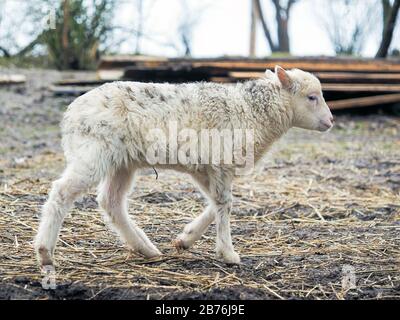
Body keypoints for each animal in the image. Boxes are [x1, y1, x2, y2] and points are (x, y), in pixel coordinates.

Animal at [35, 65, 334, 268]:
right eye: (312, 97)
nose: (331, 121)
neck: (251, 111)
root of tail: (70, 113)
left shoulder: (206, 167)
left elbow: (216, 203)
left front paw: (186, 239)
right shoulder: (220, 162)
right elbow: (224, 205)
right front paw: (228, 253)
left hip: (122, 162)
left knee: (111, 202)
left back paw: (146, 248)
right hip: (92, 153)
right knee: (62, 192)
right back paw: (45, 252)